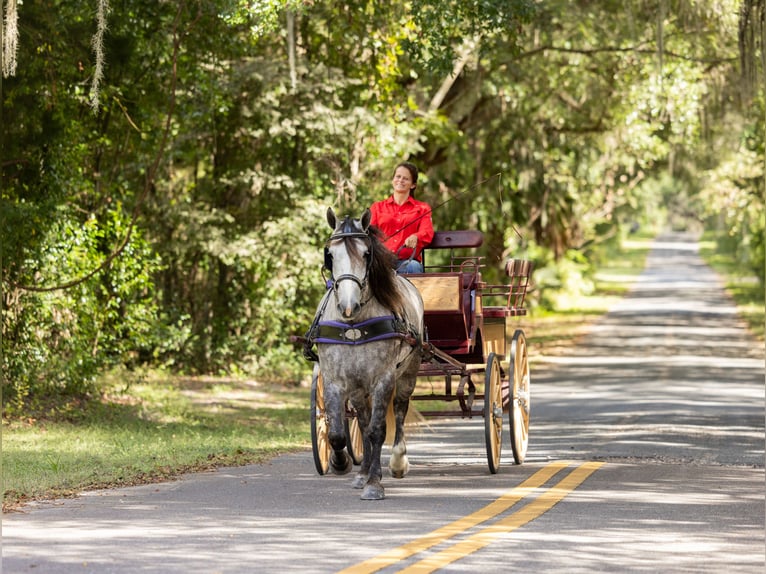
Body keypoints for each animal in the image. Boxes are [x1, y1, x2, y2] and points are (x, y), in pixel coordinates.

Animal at [308, 207, 424, 500]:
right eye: (330, 254)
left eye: (365, 253)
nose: (348, 305)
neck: (353, 324)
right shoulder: (335, 379)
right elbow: (338, 432)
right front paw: (341, 463)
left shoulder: (383, 379)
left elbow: (378, 430)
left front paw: (375, 483)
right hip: (358, 386)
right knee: (361, 420)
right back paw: (362, 472)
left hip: (408, 372)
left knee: (399, 409)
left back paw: (397, 462)